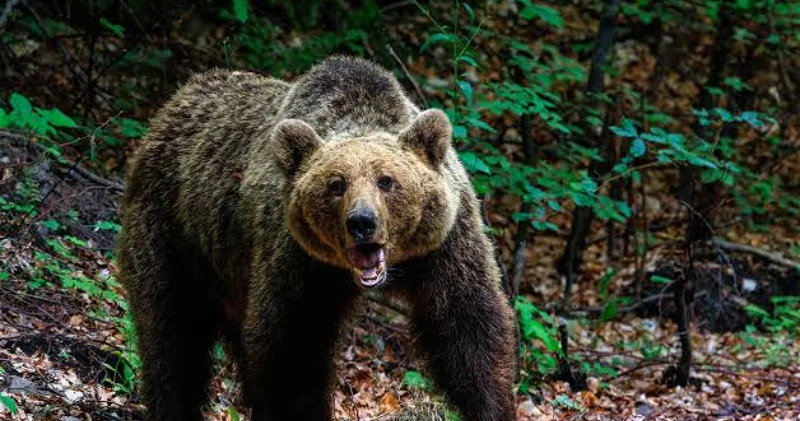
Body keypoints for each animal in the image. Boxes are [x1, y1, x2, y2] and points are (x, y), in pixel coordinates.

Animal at [118, 56, 517, 421]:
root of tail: (173, 103)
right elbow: (293, 352)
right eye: (336, 185)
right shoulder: (298, 260)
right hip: (173, 235)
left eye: (387, 181)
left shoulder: (444, 245)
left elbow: (468, 329)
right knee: (172, 335)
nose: (362, 222)